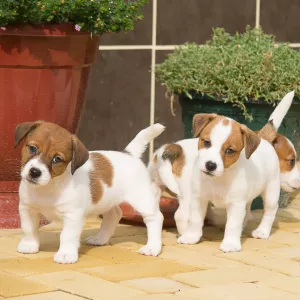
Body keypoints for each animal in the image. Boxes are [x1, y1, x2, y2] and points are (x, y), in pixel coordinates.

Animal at [15, 120, 165, 264]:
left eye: (57, 159)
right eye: (32, 148)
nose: (35, 172)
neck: (48, 186)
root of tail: (129, 154)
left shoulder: (73, 216)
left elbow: (67, 236)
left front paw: (66, 254)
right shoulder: (27, 209)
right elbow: (28, 229)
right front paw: (29, 245)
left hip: (141, 198)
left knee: (155, 218)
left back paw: (152, 247)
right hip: (107, 200)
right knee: (114, 215)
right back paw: (100, 239)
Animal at [149, 91, 298, 251]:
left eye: (230, 150)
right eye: (206, 142)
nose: (210, 165)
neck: (218, 178)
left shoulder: (236, 203)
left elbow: (232, 224)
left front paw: (230, 243)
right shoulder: (198, 198)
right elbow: (195, 220)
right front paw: (191, 236)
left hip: (271, 191)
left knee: (270, 210)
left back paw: (262, 231)